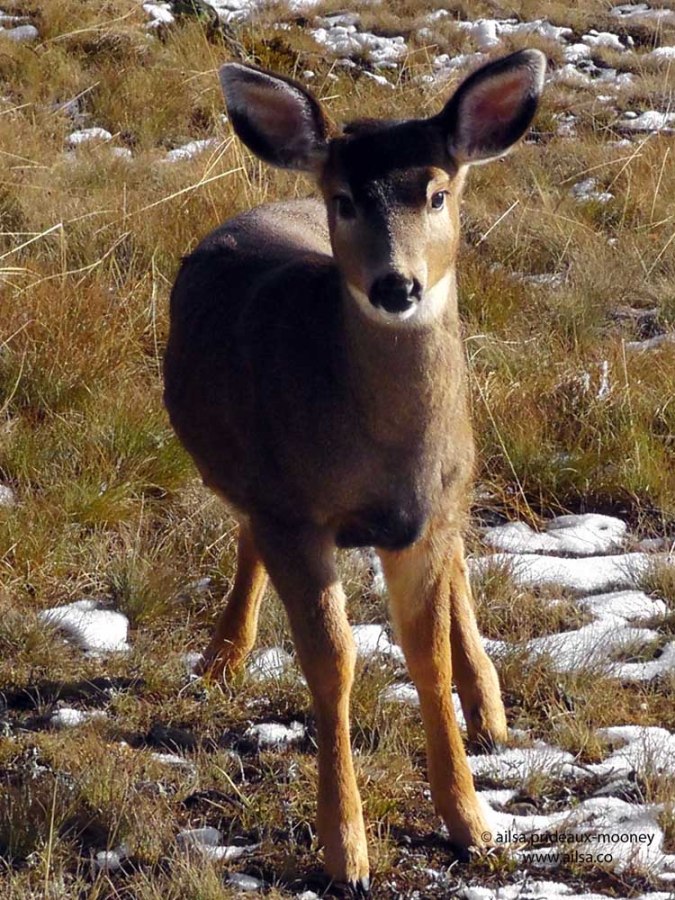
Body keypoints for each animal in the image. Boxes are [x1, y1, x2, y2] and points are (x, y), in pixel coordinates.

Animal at [164, 49, 545, 895]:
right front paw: (347, 853)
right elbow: (331, 664)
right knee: (245, 535)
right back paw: (219, 657)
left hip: (455, 476)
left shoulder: (426, 513)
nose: (395, 286)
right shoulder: (293, 512)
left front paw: (472, 824)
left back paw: (489, 708)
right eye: (342, 199)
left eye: (436, 192)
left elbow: (424, 655)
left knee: (460, 563)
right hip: (251, 474)